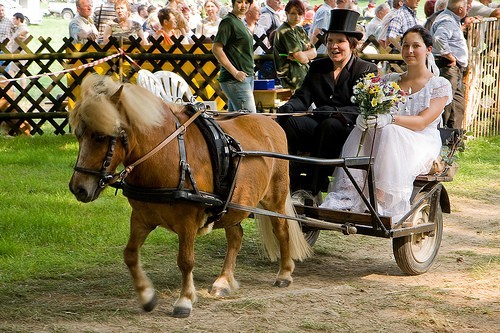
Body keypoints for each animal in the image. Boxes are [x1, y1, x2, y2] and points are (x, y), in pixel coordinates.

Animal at [69, 74, 312, 318]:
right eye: (79, 135)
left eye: (100, 136)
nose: (78, 188)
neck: (167, 156)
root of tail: (271, 122)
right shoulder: (141, 217)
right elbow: (130, 254)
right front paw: (146, 295)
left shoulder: (187, 222)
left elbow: (185, 261)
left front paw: (184, 300)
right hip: (234, 203)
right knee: (236, 237)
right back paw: (224, 281)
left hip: (275, 198)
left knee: (282, 230)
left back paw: (284, 273)